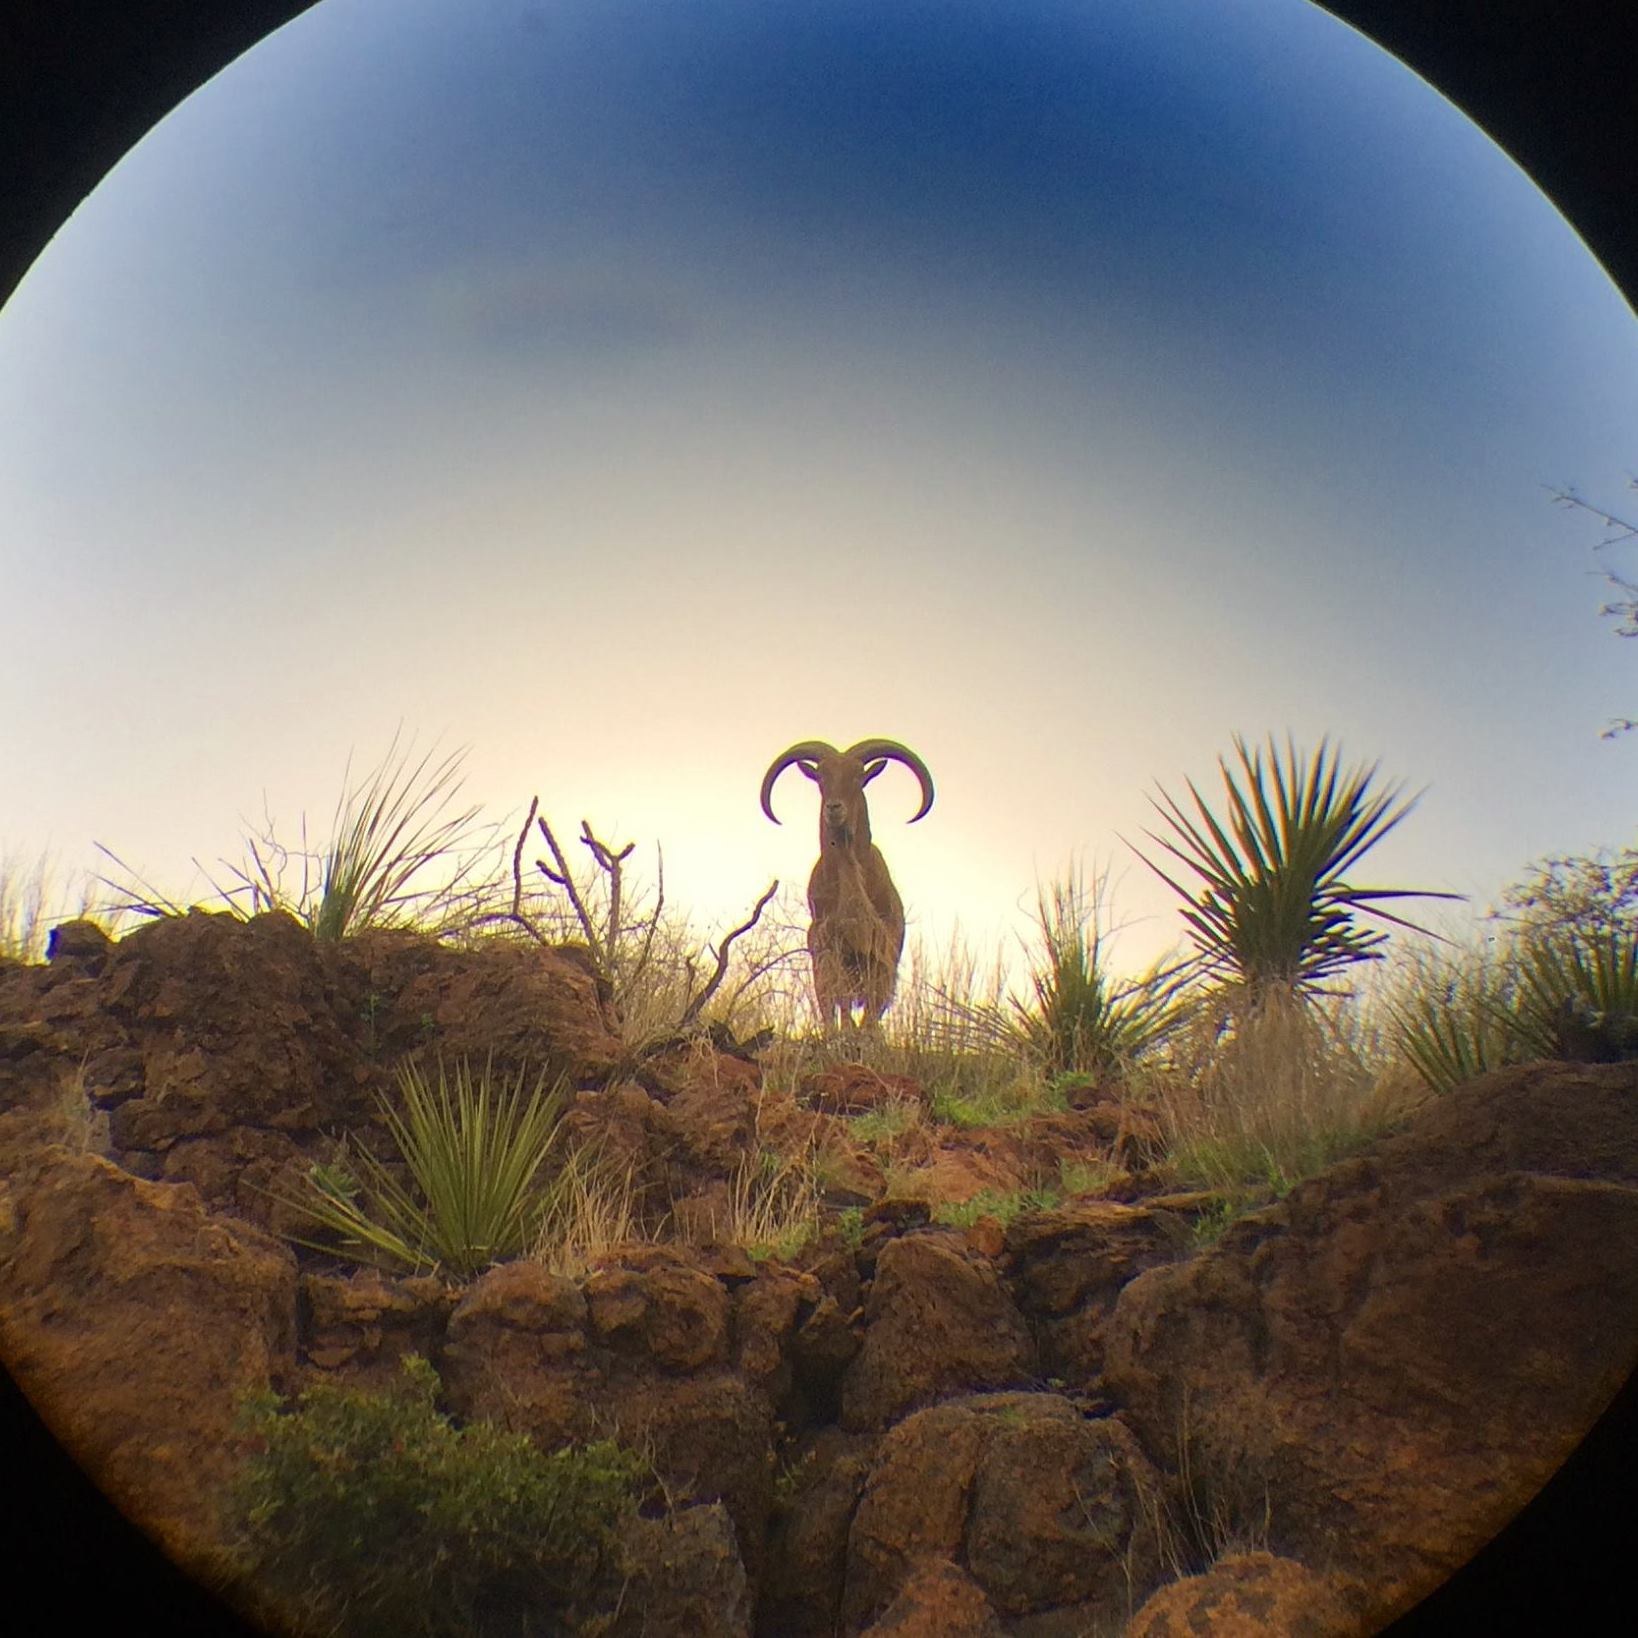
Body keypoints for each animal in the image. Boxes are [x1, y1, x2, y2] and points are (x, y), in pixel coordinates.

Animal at [760, 738, 935, 1029]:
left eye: (858, 776)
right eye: (821, 776)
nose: (834, 808)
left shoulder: (881, 956)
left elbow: (873, 1008)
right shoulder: (830, 949)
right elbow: (838, 1001)